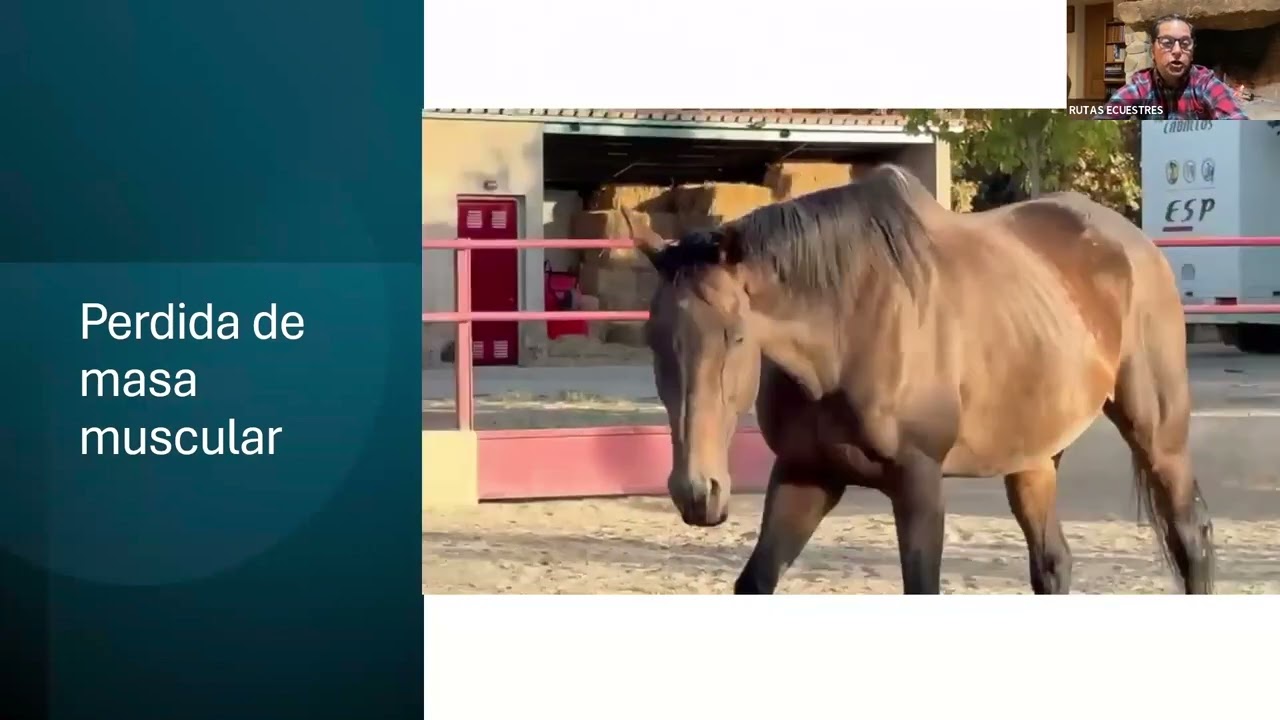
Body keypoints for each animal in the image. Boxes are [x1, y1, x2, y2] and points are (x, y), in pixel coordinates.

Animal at [629, 164, 1216, 595]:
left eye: (735, 336)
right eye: (653, 339)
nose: (696, 492)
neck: (847, 327)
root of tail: (1136, 245)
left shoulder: (919, 483)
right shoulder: (805, 474)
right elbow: (755, 582)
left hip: (1159, 436)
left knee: (1191, 541)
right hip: (1033, 458)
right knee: (1052, 564)